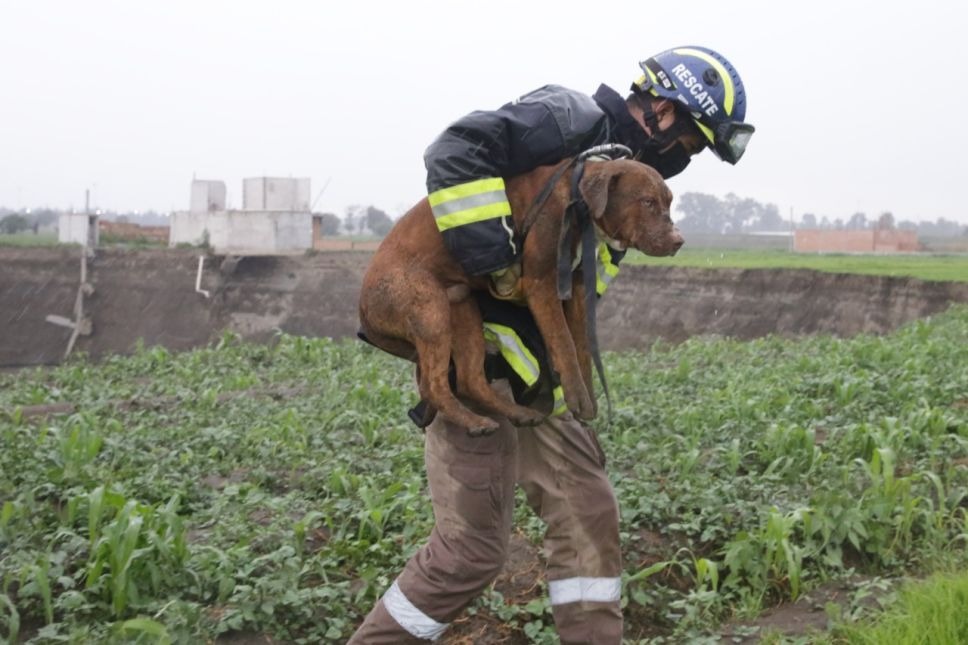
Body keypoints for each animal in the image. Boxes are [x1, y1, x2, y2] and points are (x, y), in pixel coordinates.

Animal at [356, 158, 680, 436]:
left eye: (668, 202)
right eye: (647, 202)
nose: (679, 242)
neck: (577, 203)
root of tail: (362, 307)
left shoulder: (575, 290)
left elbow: (583, 348)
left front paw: (588, 399)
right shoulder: (541, 284)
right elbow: (564, 343)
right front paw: (576, 397)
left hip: (462, 309)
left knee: (470, 379)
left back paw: (515, 414)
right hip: (428, 309)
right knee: (433, 385)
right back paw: (474, 422)